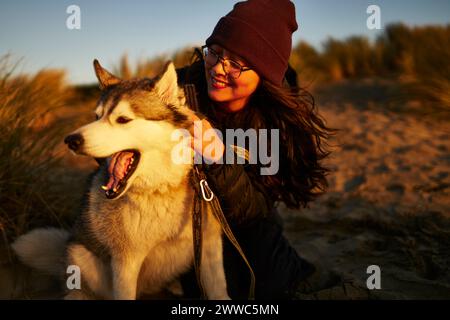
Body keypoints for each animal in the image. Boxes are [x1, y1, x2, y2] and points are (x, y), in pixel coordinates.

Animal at [11, 59, 229, 300]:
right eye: (97, 117)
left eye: (123, 119)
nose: (71, 140)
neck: (162, 188)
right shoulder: (125, 263)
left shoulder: (210, 250)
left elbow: (220, 292)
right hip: (81, 256)